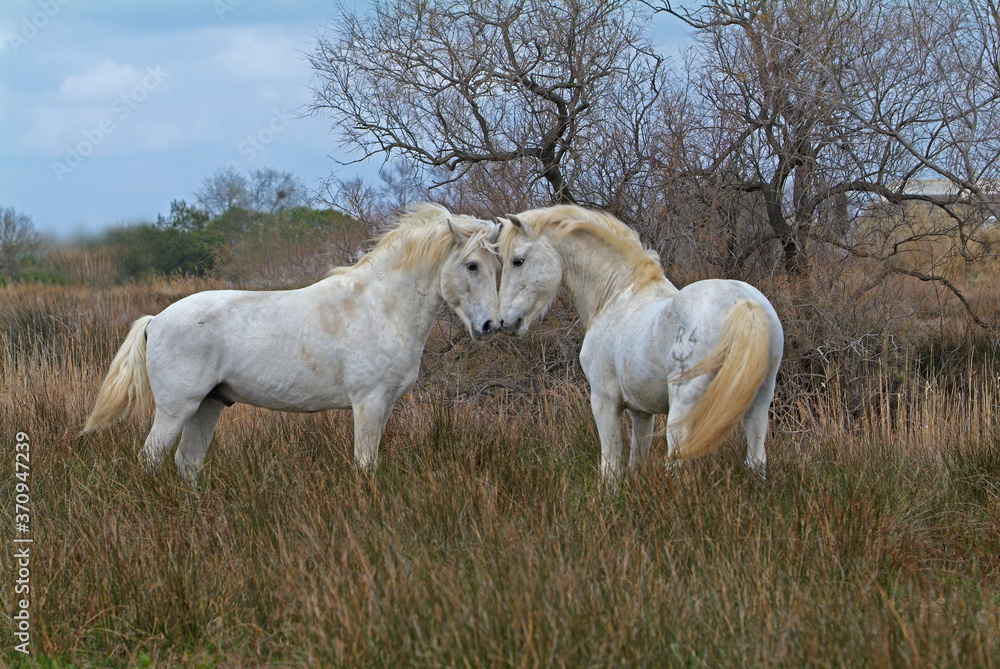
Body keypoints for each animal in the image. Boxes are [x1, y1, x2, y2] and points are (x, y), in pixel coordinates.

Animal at [83, 204, 502, 483]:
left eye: (499, 265)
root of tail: (156, 321)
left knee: (186, 463)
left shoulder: (384, 407)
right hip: (176, 409)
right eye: (471, 265)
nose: (490, 324)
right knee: (150, 460)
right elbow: (365, 465)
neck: (379, 306)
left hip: (207, 406)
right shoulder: (368, 403)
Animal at [496, 204, 783, 481]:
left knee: (677, 463)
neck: (617, 294)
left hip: (684, 406)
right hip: (759, 403)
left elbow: (611, 467)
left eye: (517, 261)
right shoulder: (641, 411)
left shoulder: (605, 402)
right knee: (756, 460)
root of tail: (745, 303)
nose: (504, 322)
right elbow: (637, 461)